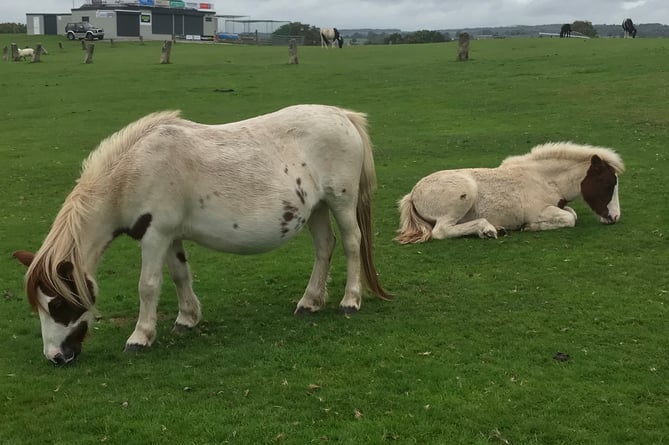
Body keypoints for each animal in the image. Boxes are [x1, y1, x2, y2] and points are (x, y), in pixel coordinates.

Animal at [14, 104, 392, 364]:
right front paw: (187, 319)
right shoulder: (169, 236)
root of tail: (343, 115)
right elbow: (180, 274)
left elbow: (148, 286)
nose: (55, 357)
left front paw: (140, 336)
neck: (133, 171)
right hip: (315, 209)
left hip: (341, 202)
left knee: (351, 244)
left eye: (58, 304)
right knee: (325, 247)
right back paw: (310, 302)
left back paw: (349, 301)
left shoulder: (155, 235)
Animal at [394, 141, 624, 243]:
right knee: (441, 231)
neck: (544, 179)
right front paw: (530, 227)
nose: (615, 217)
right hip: (464, 194)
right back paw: (486, 229)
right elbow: (570, 219)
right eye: (608, 183)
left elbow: (571, 213)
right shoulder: (539, 211)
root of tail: (413, 194)